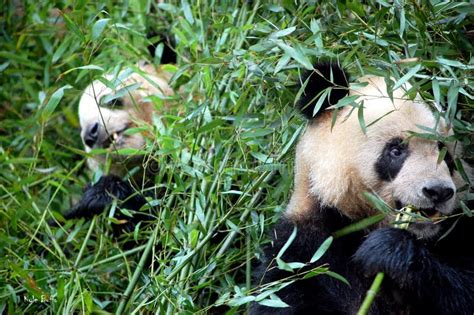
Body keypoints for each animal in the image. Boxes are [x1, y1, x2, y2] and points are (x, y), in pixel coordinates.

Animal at [252, 63, 474, 314]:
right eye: (395, 151)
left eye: (444, 153)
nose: (438, 191)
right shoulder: (299, 253)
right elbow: (285, 294)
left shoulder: (458, 233)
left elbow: (463, 290)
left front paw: (388, 251)